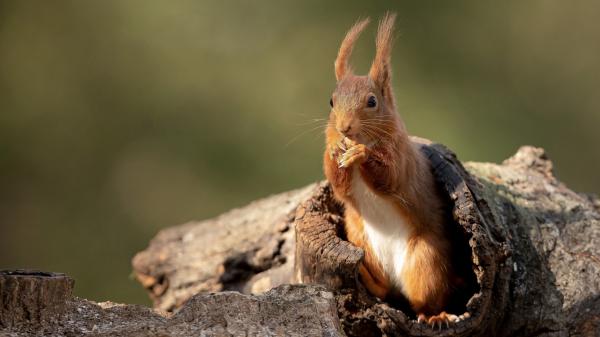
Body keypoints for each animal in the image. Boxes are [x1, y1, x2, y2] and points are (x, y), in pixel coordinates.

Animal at [326, 13, 466, 326]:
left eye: (372, 102)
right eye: (331, 101)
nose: (344, 127)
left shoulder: (401, 159)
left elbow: (388, 178)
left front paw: (361, 154)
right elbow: (340, 187)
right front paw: (335, 149)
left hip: (426, 260)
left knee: (423, 299)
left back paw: (436, 315)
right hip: (361, 240)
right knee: (383, 289)